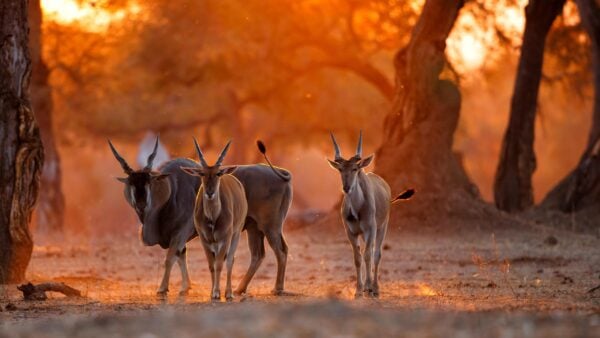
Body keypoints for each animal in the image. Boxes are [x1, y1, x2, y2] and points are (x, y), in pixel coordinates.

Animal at [108, 137, 199, 296]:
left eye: (148, 182)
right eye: (131, 183)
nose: (141, 204)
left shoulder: (180, 232)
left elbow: (170, 258)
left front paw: (163, 288)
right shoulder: (179, 237)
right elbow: (180, 255)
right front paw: (185, 286)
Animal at [183, 140, 248, 302]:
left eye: (218, 173)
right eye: (202, 173)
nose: (210, 192)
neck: (212, 218)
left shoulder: (225, 238)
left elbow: (219, 264)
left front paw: (218, 292)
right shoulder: (204, 239)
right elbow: (211, 265)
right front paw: (212, 292)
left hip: (236, 233)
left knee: (230, 260)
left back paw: (229, 292)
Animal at [326, 131, 414, 298]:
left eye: (355, 169)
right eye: (340, 169)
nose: (346, 188)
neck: (357, 209)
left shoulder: (371, 229)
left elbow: (368, 255)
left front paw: (368, 288)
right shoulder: (351, 232)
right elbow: (357, 258)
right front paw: (358, 290)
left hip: (382, 227)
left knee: (376, 254)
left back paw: (375, 288)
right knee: (370, 252)